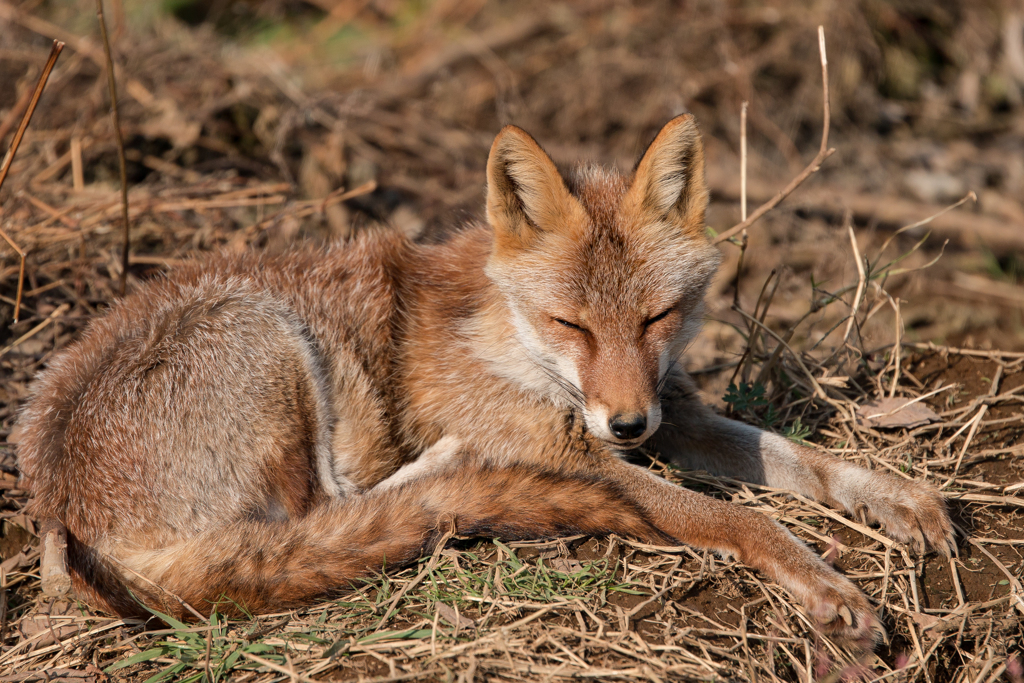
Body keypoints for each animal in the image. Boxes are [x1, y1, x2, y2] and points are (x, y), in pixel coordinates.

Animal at [14, 114, 950, 643]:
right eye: (572, 325)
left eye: (656, 318)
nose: (627, 427)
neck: (510, 342)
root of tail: (57, 511)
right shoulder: (580, 456)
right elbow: (738, 518)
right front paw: (827, 584)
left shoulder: (670, 407)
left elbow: (801, 461)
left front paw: (898, 497)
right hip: (266, 333)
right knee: (327, 509)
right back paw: (449, 470)